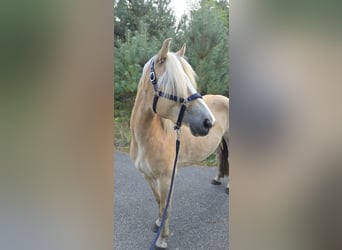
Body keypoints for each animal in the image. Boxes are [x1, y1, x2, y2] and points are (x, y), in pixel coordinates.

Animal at [130, 38, 228, 249]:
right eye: (176, 85)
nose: (209, 122)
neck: (146, 139)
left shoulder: (167, 178)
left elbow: (166, 206)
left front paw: (162, 238)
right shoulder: (148, 176)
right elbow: (158, 201)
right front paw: (157, 223)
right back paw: (217, 178)